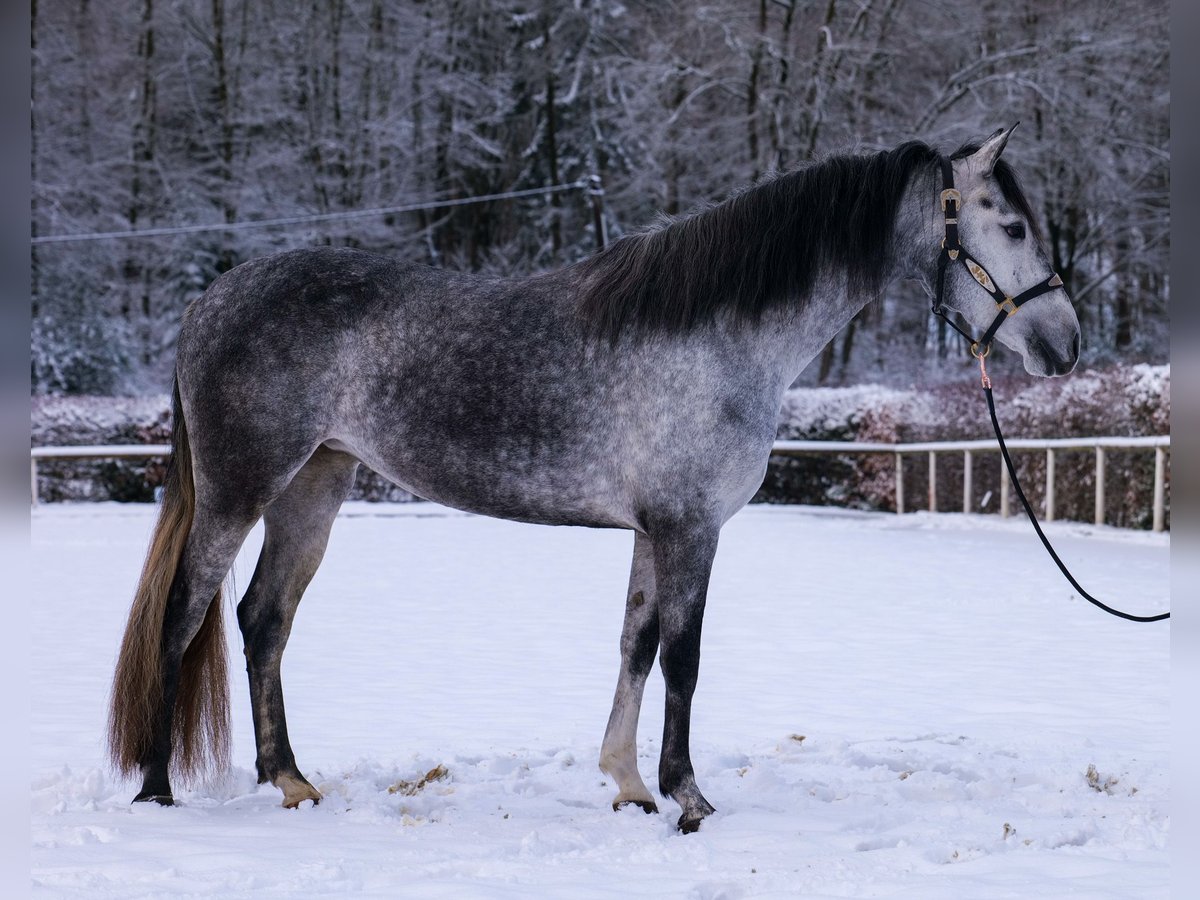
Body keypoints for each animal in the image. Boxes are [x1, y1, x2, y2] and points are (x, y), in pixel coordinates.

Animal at [105, 125, 1080, 830]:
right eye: (1014, 226)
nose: (1066, 344)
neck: (723, 337)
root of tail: (210, 302)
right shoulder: (691, 528)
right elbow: (684, 656)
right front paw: (687, 797)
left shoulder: (654, 531)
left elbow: (635, 645)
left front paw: (627, 784)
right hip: (240, 492)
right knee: (184, 615)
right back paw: (156, 789)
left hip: (314, 487)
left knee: (263, 619)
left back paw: (291, 781)